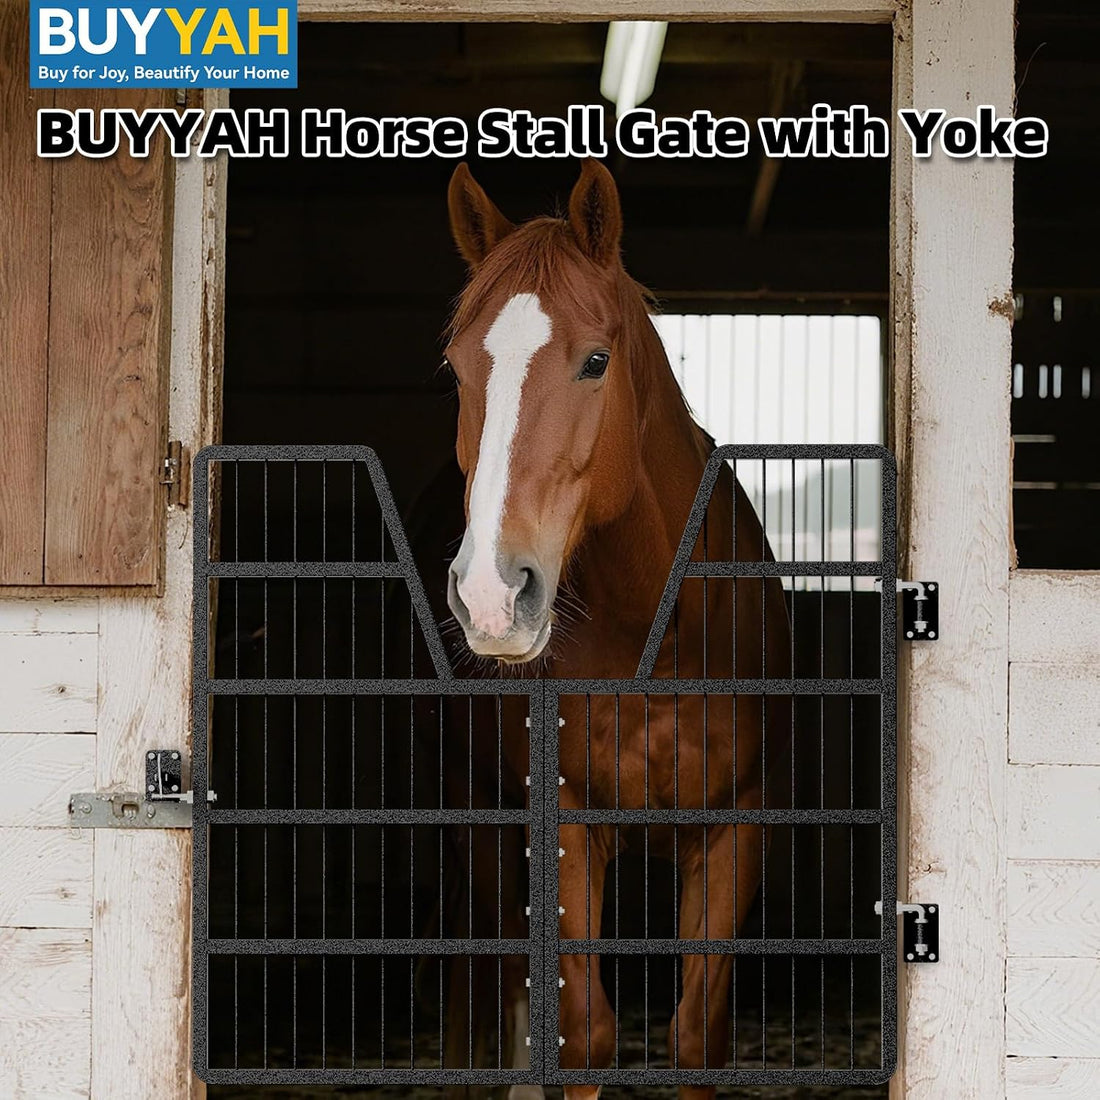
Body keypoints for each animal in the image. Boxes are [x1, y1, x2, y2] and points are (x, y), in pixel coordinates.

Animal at [441, 158, 792, 1100]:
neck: (654, 633)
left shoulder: (735, 830)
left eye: (595, 361)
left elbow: (698, 1036)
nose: (492, 593)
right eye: (457, 366)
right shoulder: (565, 820)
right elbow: (588, 1036)